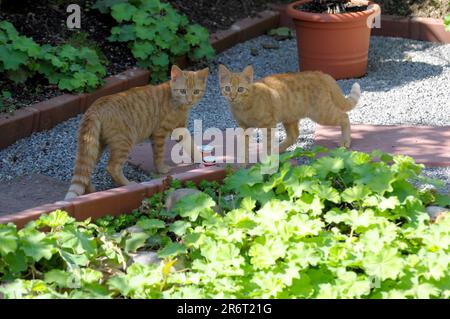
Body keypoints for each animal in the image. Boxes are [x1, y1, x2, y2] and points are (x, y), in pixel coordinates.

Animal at [64, 65, 208, 200]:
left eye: (196, 91)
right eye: (183, 91)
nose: (189, 100)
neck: (175, 101)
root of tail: (96, 106)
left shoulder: (180, 130)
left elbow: (191, 145)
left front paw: (201, 159)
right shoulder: (160, 133)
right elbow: (159, 155)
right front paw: (161, 169)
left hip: (95, 146)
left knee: (86, 169)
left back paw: (91, 190)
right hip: (124, 142)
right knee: (112, 167)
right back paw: (128, 185)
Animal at [219, 64, 362, 161]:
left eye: (240, 89)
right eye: (227, 88)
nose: (232, 97)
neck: (242, 107)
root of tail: (320, 73)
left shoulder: (268, 124)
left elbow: (268, 144)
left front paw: (267, 159)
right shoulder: (243, 127)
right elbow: (244, 146)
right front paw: (243, 164)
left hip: (322, 113)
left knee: (345, 117)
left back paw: (345, 141)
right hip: (290, 117)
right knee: (294, 136)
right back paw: (278, 150)